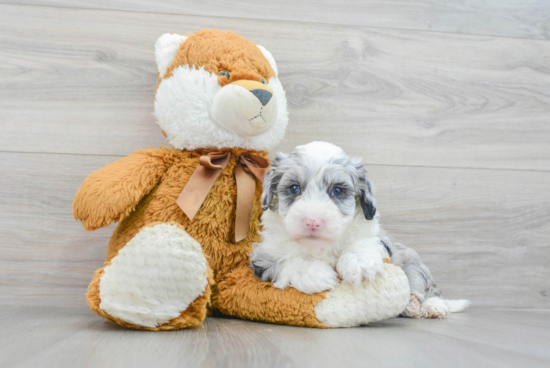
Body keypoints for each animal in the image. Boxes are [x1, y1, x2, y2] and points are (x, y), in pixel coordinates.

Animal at [252, 140, 472, 316]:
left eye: (337, 191)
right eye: (294, 188)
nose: (312, 221)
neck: (320, 247)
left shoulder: (380, 238)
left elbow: (363, 242)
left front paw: (359, 263)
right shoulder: (262, 256)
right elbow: (288, 260)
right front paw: (315, 273)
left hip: (414, 264)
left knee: (429, 289)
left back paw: (432, 307)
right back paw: (412, 306)